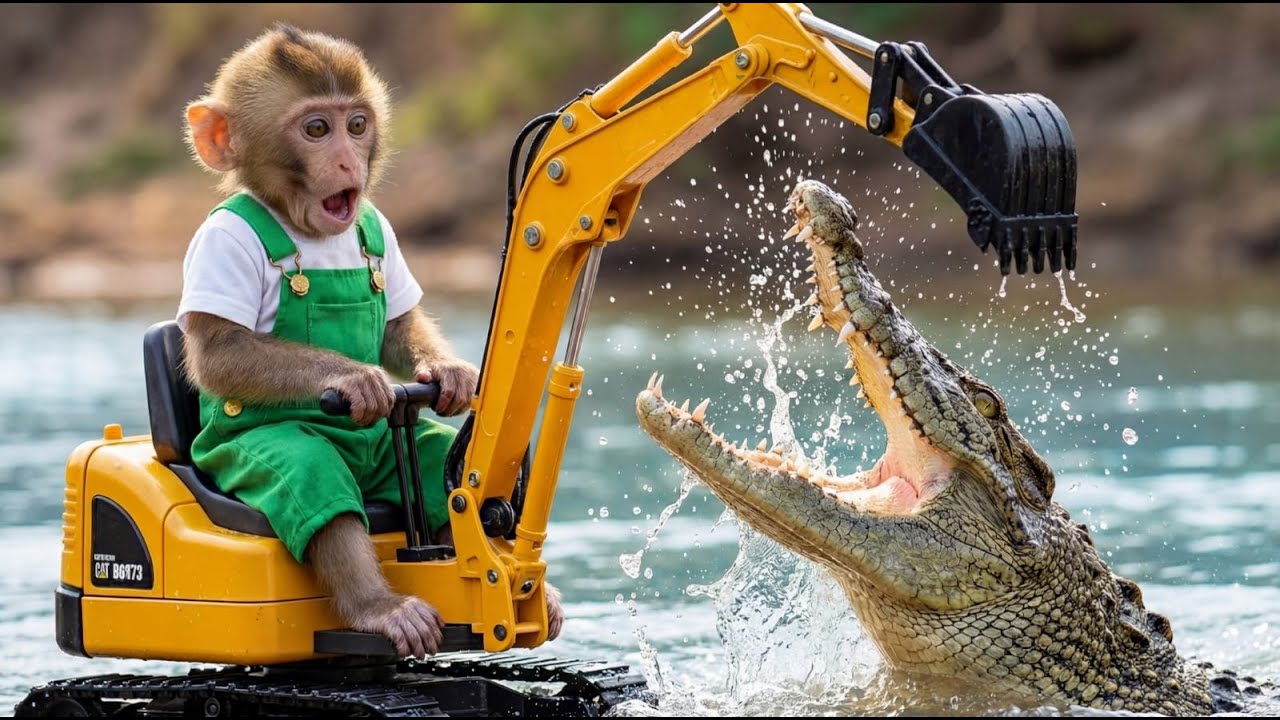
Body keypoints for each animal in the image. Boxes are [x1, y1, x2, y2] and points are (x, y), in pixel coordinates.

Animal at [177, 24, 563, 658]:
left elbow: (398, 325)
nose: (345, 158)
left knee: (435, 465)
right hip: (246, 452)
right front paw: (359, 381)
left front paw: (453, 376)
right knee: (317, 484)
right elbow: (221, 349)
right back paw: (384, 609)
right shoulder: (222, 244)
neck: (307, 231)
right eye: (316, 129)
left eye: (356, 124)